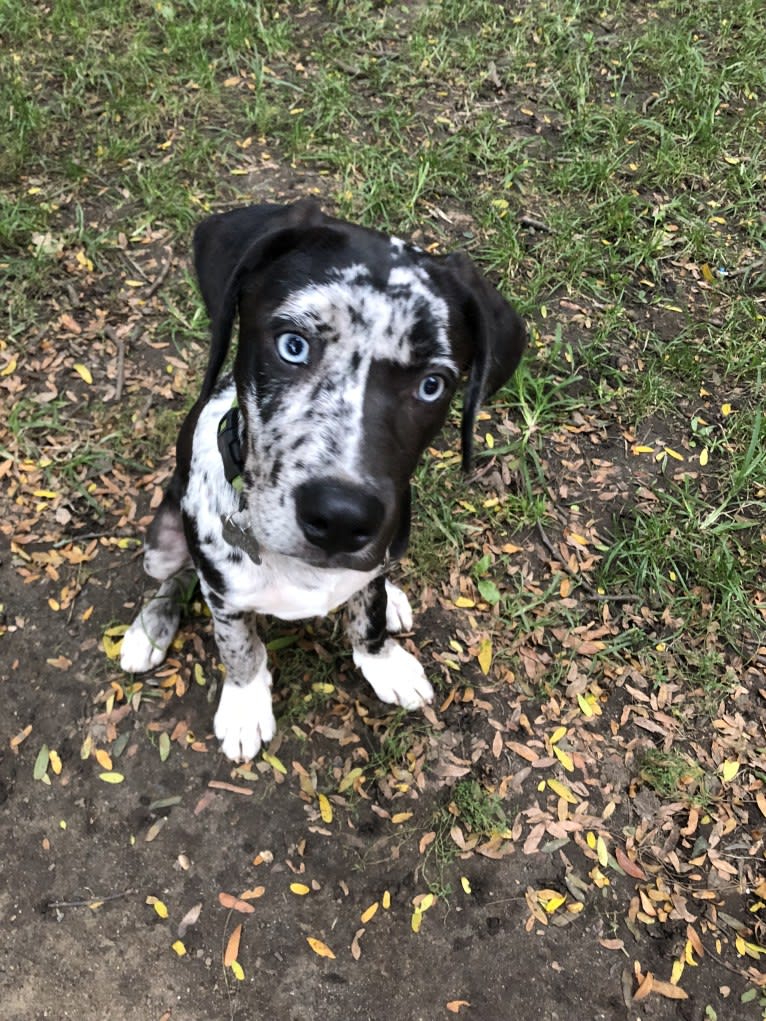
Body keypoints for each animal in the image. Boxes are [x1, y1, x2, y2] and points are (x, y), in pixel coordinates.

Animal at [121, 199, 527, 759]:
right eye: (293, 345)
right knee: (173, 579)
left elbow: (369, 613)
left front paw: (383, 660)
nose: (340, 519)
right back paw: (151, 628)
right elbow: (238, 645)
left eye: (433, 385)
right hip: (162, 542)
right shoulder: (224, 597)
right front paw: (245, 702)